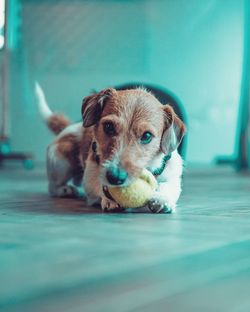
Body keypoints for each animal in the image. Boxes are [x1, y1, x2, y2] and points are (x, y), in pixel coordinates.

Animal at [36, 84, 186, 213]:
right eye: (108, 126)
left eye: (147, 135)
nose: (115, 177)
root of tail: (69, 127)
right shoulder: (90, 177)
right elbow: (98, 185)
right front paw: (109, 198)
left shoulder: (173, 176)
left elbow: (169, 186)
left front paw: (162, 198)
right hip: (60, 162)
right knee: (53, 187)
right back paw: (66, 190)